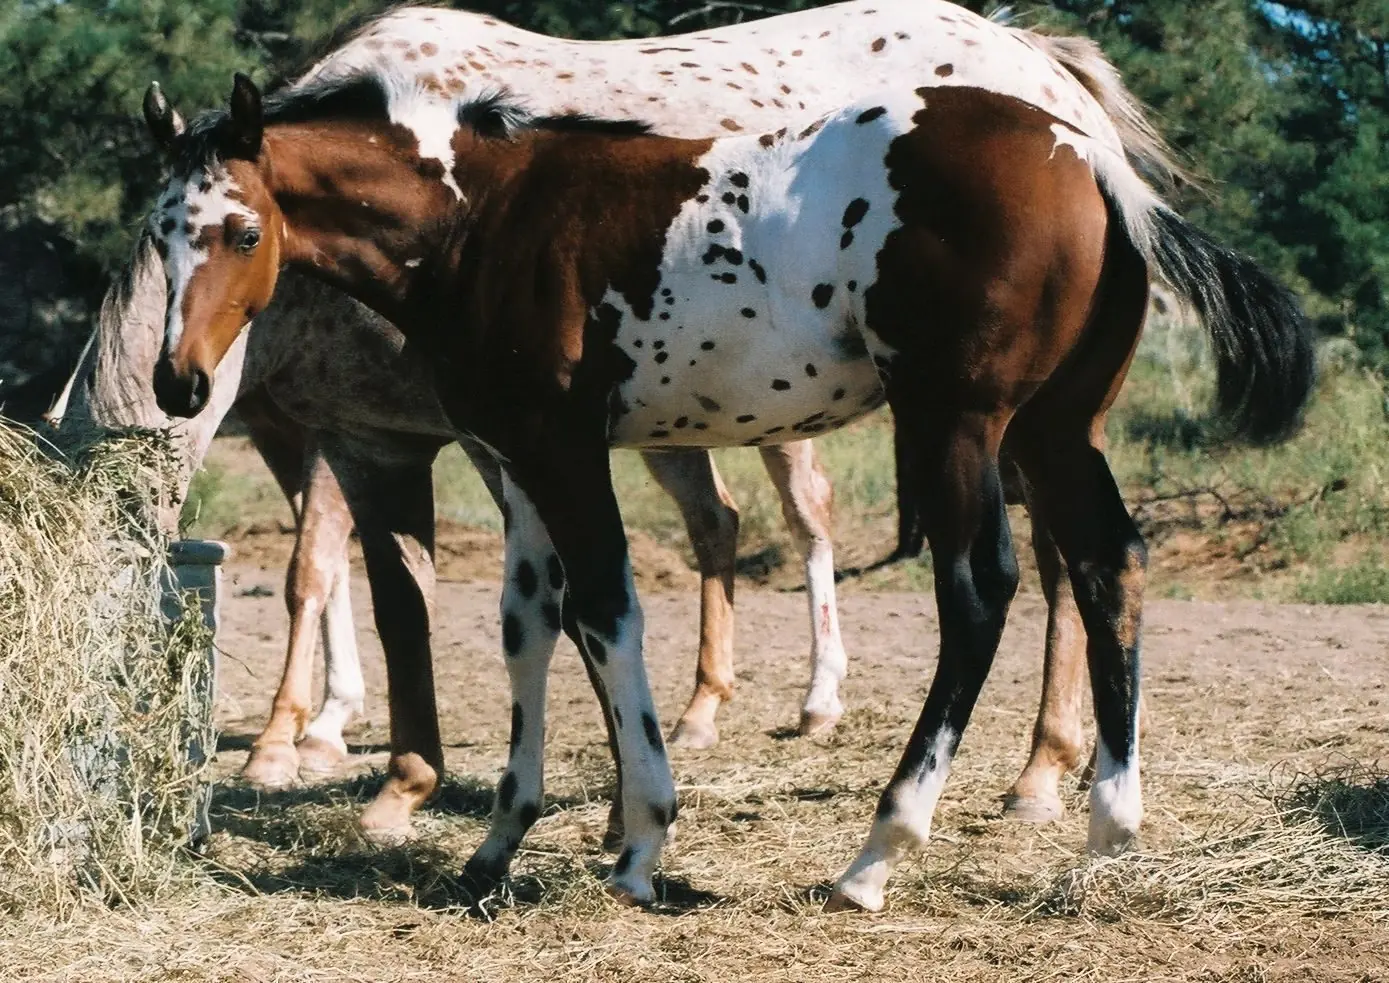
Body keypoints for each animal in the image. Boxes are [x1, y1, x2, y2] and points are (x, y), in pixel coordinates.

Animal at [138, 55, 1313, 907]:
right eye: (157, 234)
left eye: (243, 229)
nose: (178, 381)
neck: (485, 219)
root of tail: (1092, 161)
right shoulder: (516, 457)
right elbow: (531, 625)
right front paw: (501, 838)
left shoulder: (562, 449)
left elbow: (608, 614)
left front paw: (640, 843)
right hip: (1055, 427)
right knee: (1113, 561)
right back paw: (1108, 830)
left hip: (962, 423)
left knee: (982, 588)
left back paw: (877, 853)